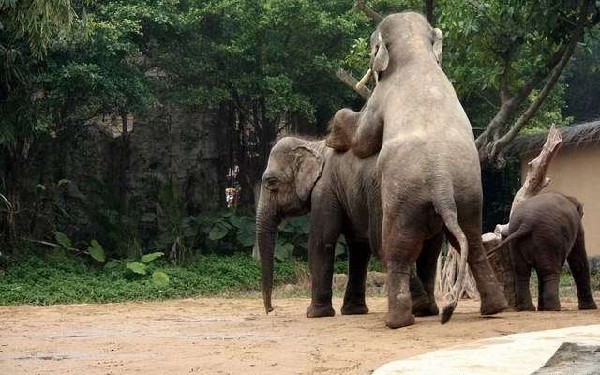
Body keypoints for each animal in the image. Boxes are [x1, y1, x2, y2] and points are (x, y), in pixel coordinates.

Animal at [255, 137, 438, 318]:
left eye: (271, 182)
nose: (270, 309)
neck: (314, 146)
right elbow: (358, 247)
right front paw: (353, 311)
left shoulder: (324, 190)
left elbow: (322, 242)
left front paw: (315, 314)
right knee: (430, 252)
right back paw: (427, 310)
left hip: (384, 195)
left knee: (383, 244)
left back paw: (419, 305)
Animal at [326, 11, 508, 328]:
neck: (416, 50)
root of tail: (442, 182)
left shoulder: (380, 97)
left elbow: (364, 140)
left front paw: (331, 138)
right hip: (469, 195)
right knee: (472, 240)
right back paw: (494, 308)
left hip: (404, 199)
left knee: (396, 249)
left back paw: (396, 322)